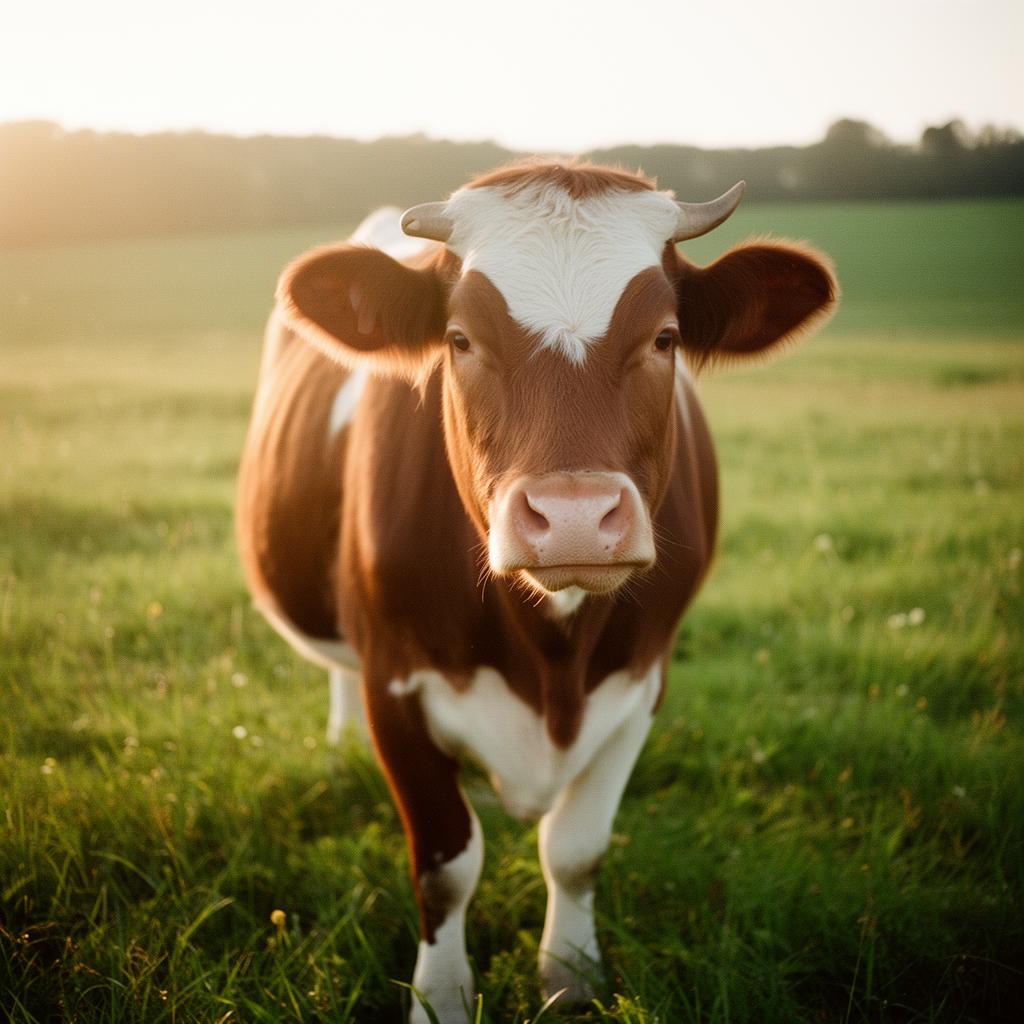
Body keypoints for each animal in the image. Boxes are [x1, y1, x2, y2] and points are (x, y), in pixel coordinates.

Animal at [236, 161, 837, 1023]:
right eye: (460, 340)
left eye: (665, 338)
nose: (576, 516)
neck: (552, 658)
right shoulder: (395, 684)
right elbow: (445, 867)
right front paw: (441, 998)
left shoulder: (642, 682)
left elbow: (576, 849)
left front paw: (571, 976)